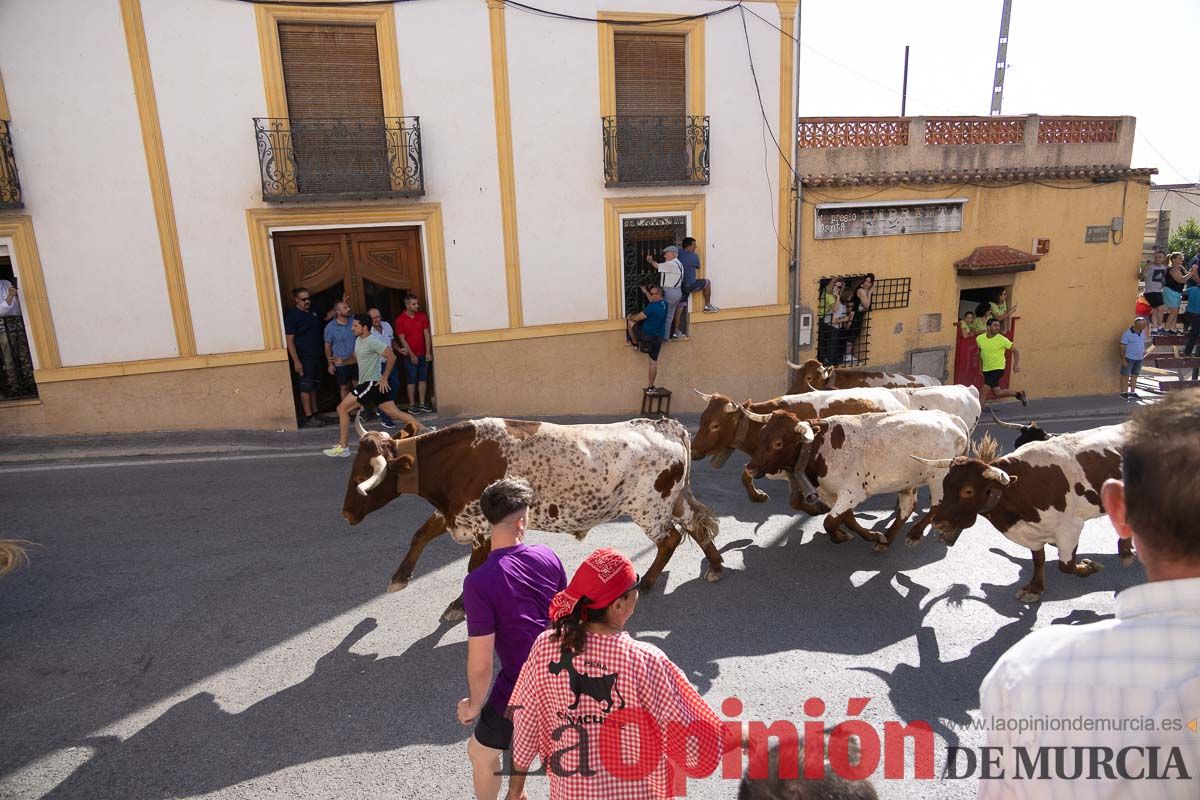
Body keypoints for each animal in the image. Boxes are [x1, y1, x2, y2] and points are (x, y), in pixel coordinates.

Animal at [744, 412, 969, 551]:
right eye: (762, 434)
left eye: (778, 443)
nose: (750, 468)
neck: (819, 447)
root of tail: (952, 418)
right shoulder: (833, 493)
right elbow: (847, 519)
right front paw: (871, 535)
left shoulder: (852, 492)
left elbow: (830, 521)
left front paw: (839, 536)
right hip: (908, 482)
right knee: (907, 508)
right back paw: (887, 539)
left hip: (938, 478)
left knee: (935, 508)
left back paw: (914, 534)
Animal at [921, 424, 1128, 599]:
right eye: (944, 484)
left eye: (968, 491)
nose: (937, 523)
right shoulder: (1031, 534)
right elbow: (1038, 559)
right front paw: (1035, 588)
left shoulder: (1070, 528)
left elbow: (1066, 566)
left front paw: (1089, 566)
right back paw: (1126, 551)